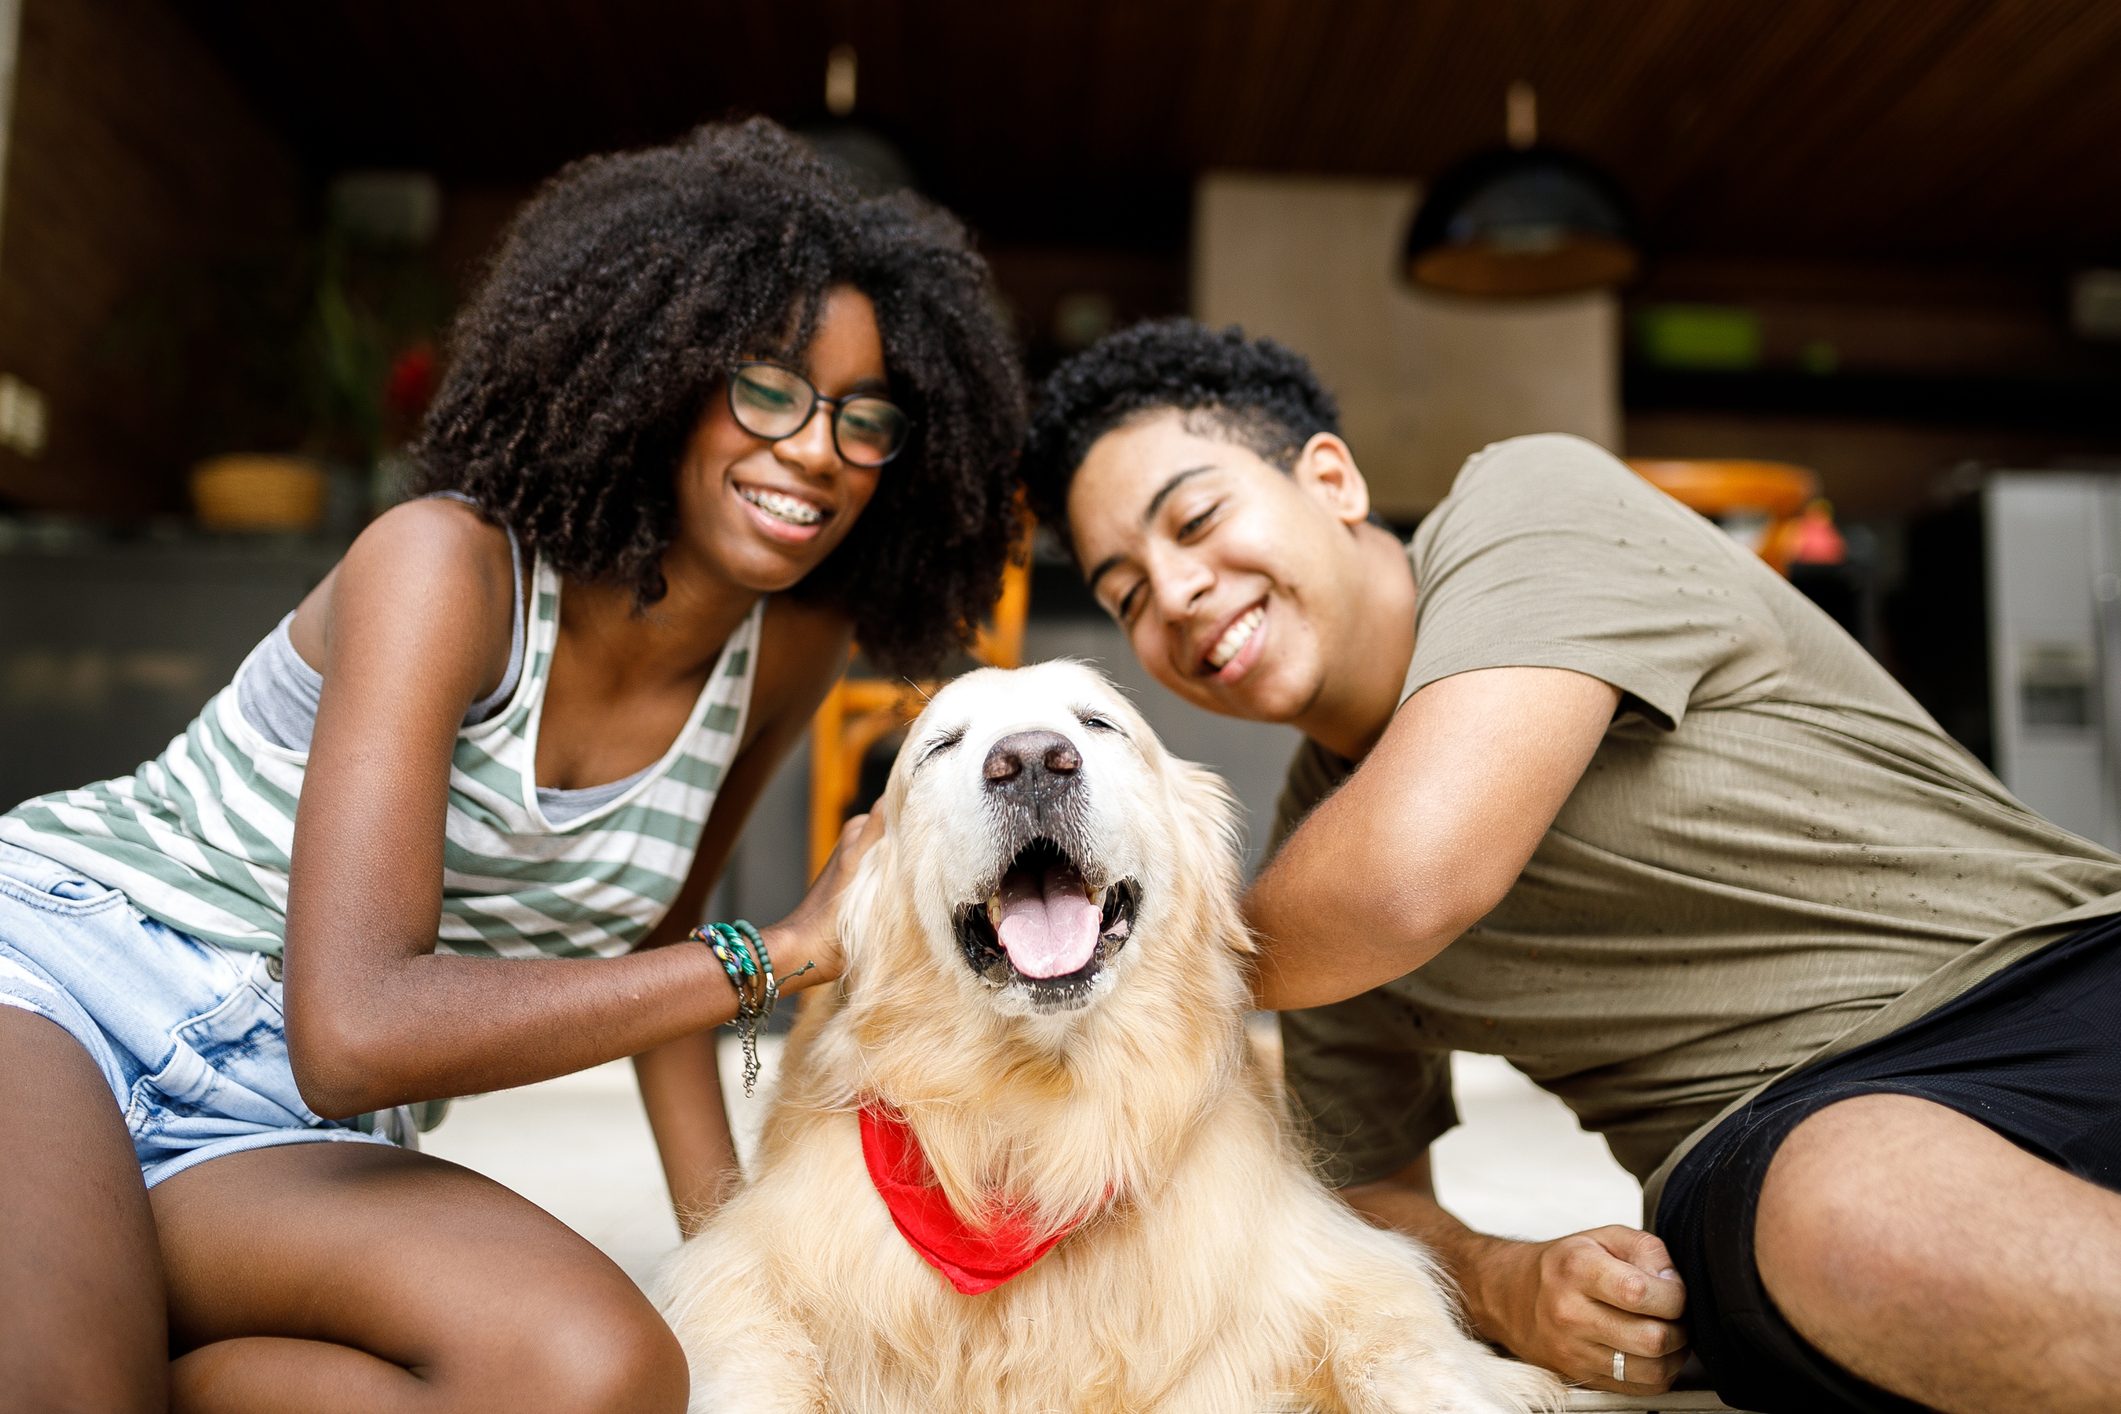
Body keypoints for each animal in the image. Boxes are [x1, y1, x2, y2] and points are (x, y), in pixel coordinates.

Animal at [657, 665, 1561, 1414]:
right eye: (941, 745)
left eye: (1097, 724)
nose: (1028, 760)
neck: (1042, 1114)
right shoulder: (745, 1271)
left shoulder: (1345, 1269)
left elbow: (1406, 1351)